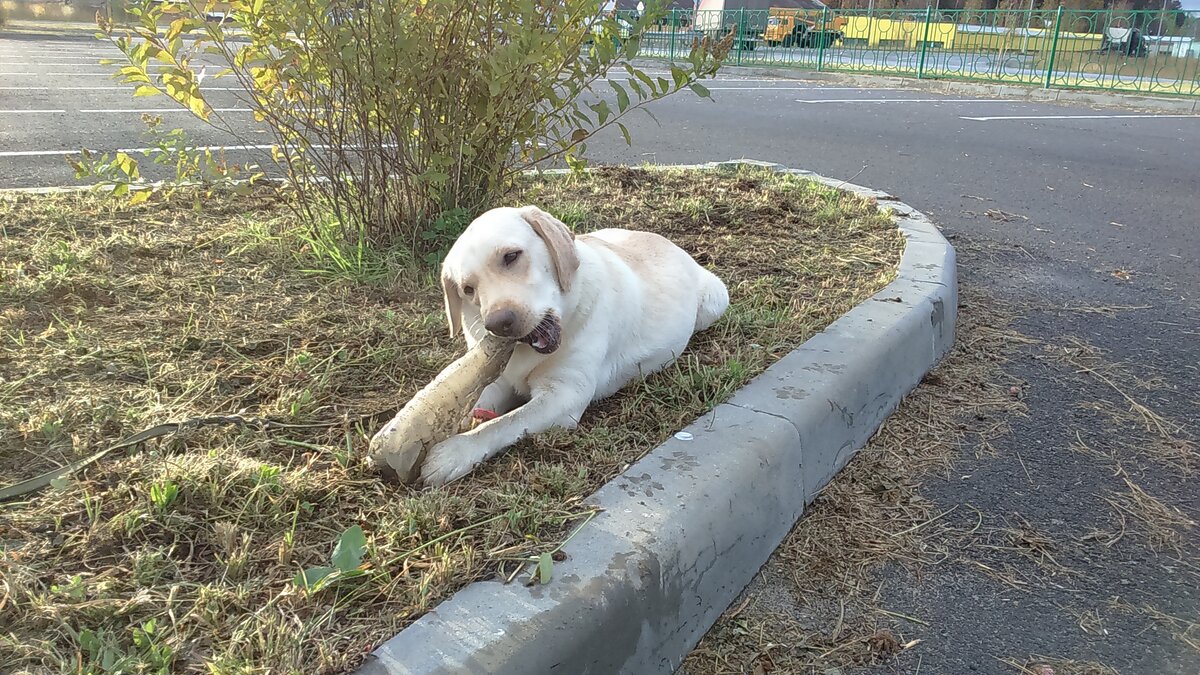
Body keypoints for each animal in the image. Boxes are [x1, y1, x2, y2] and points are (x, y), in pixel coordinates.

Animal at [417, 205, 724, 482]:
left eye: (511, 256)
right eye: (468, 289)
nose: (498, 323)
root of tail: (668, 241)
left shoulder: (564, 396)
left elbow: (503, 423)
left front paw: (454, 452)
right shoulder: (495, 379)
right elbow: (474, 406)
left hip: (716, 299)